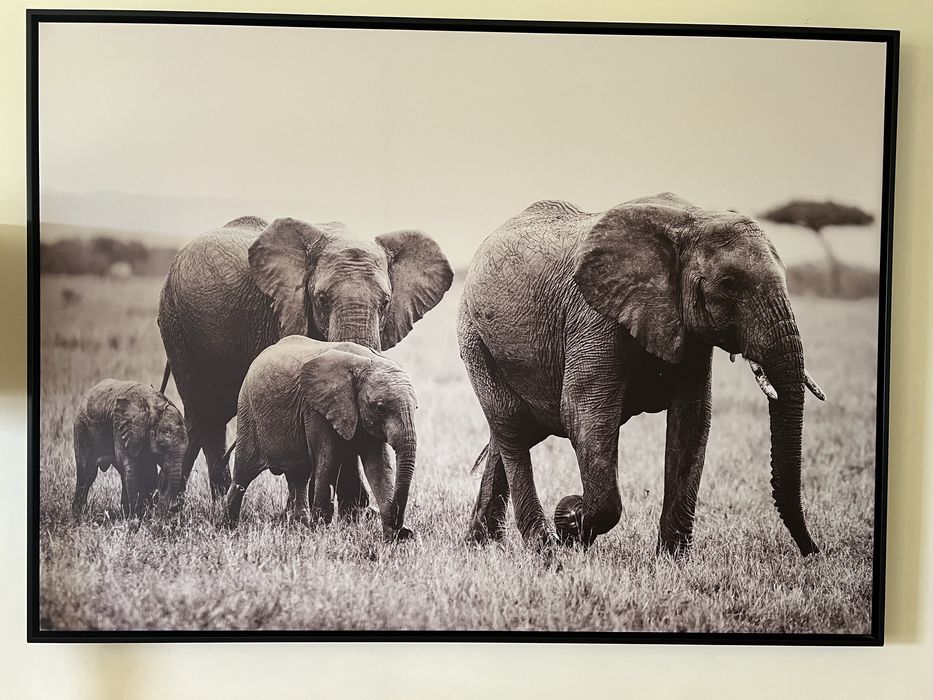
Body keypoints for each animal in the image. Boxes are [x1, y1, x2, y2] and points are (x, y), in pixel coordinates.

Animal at [72, 379, 187, 519]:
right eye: (162, 447)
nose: (174, 506)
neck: (154, 406)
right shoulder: (120, 426)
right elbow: (133, 469)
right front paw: (136, 519)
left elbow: (148, 472)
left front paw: (143, 516)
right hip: (82, 427)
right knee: (87, 473)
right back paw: (78, 516)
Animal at [157, 215, 452, 507]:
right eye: (322, 300)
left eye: (385, 303)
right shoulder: (283, 312)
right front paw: (350, 508)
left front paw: (354, 509)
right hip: (176, 323)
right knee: (204, 415)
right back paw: (183, 505)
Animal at [220, 336, 418, 542]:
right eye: (381, 408)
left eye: (416, 408)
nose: (405, 530)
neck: (365, 363)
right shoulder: (316, 408)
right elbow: (327, 458)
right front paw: (322, 531)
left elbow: (378, 466)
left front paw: (393, 538)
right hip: (248, 414)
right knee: (243, 474)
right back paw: (228, 529)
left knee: (299, 476)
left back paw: (299, 526)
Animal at [458, 193, 825, 557]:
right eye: (729, 285)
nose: (813, 551)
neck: (693, 219)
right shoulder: (594, 315)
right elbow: (584, 413)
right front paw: (571, 523)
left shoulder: (686, 330)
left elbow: (692, 419)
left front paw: (673, 558)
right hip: (474, 336)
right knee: (512, 425)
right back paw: (543, 548)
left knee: (515, 432)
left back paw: (481, 542)